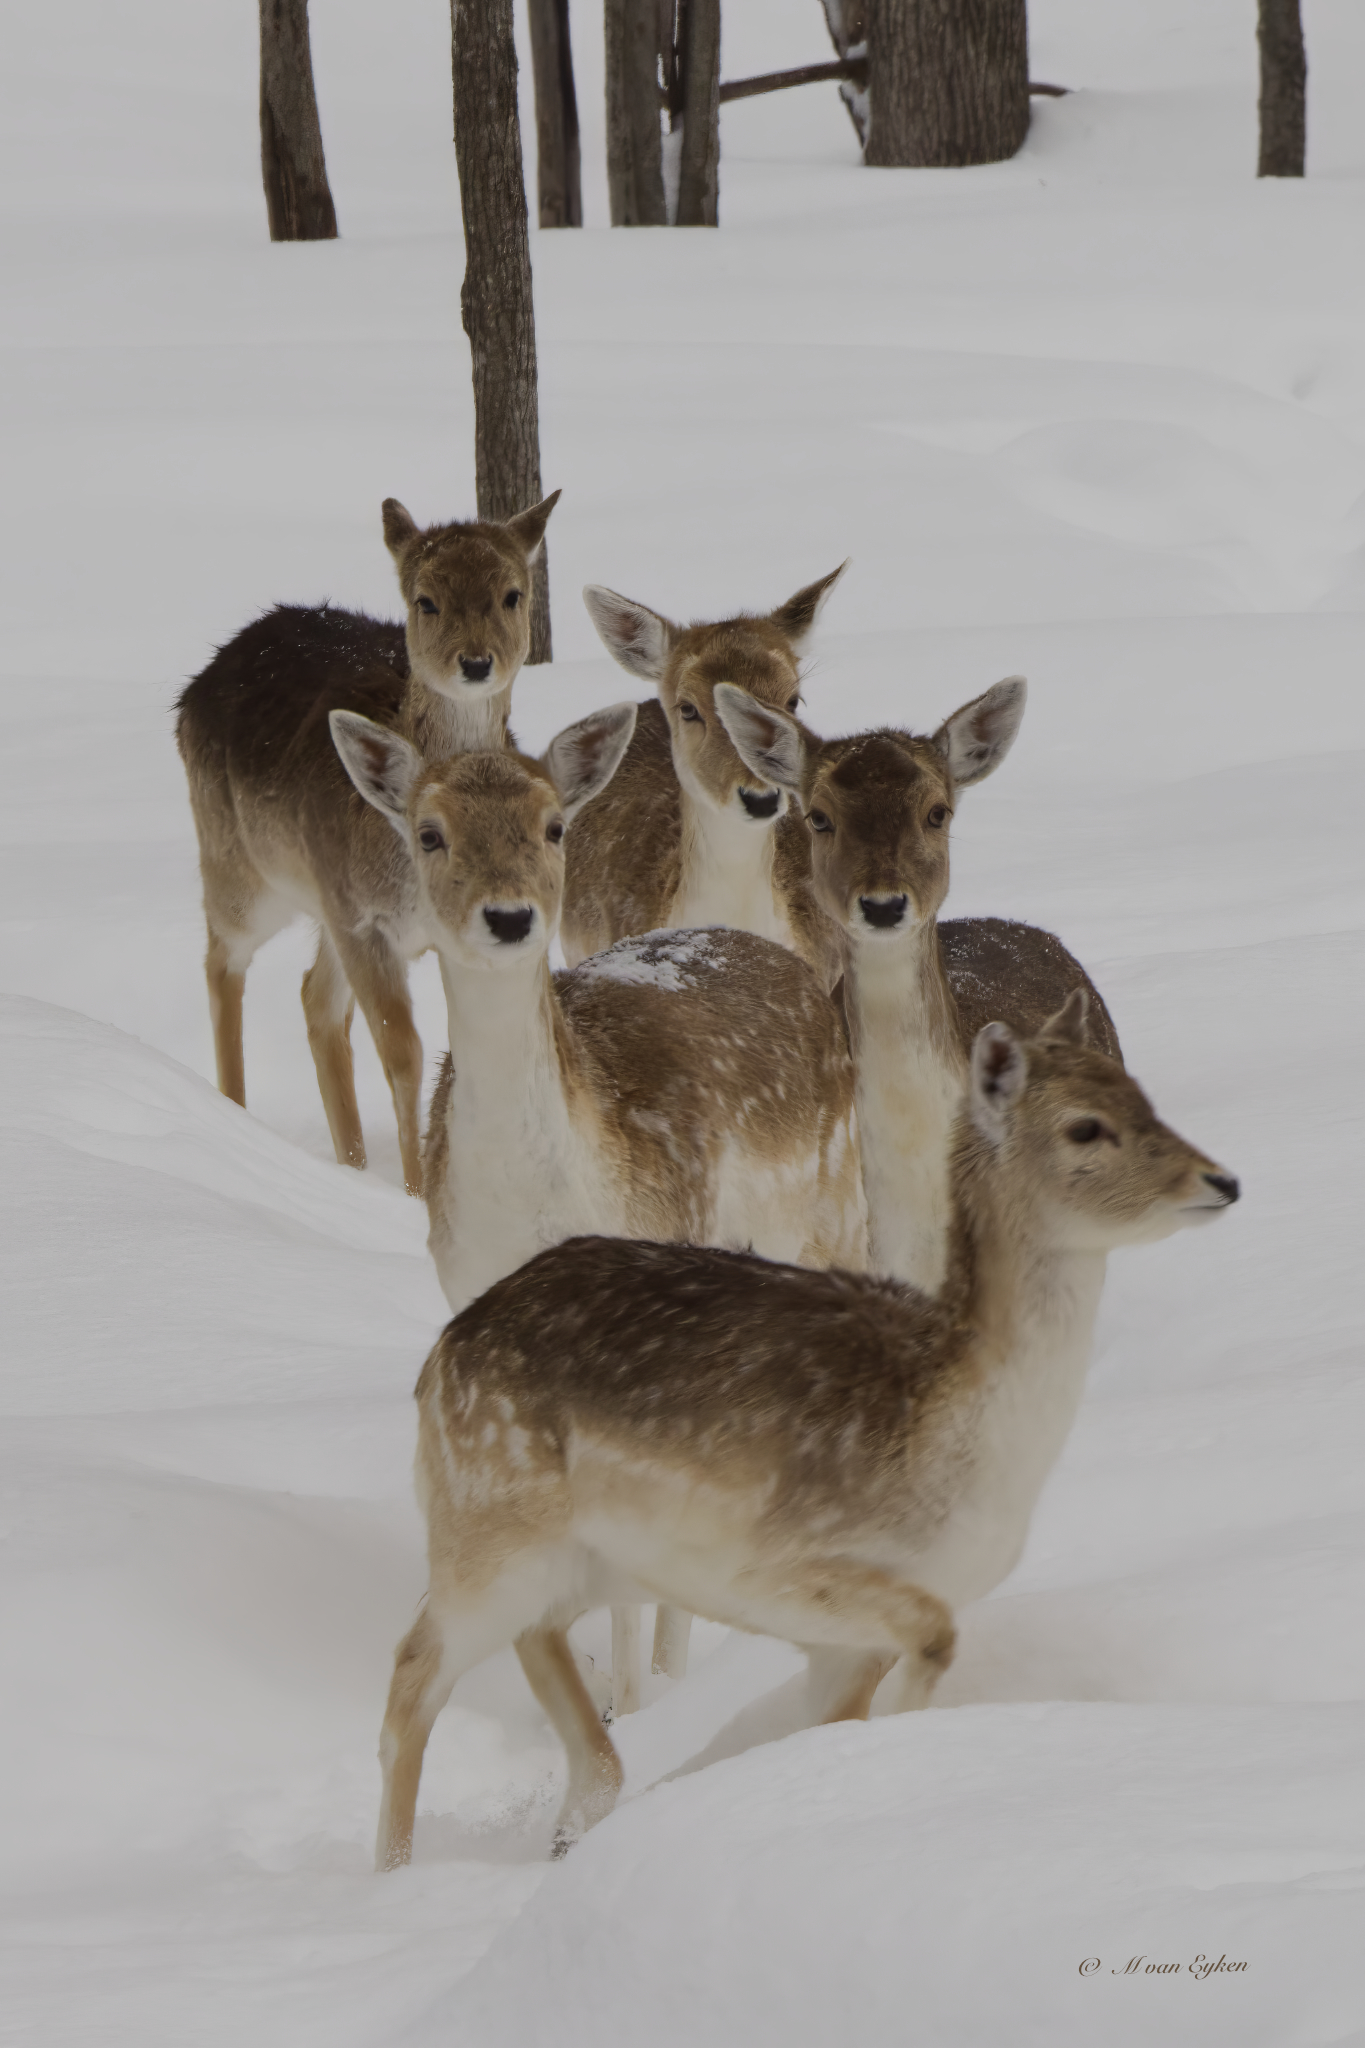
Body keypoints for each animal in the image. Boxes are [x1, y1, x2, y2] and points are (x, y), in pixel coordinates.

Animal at [174, 491, 559, 1196]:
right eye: (425, 599)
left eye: (512, 594)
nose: (475, 662)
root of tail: (196, 685)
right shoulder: (364, 920)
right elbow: (404, 1052)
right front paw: (414, 1192)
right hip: (241, 867)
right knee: (222, 961)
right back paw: (233, 1113)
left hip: (323, 905)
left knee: (314, 997)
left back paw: (350, 1164)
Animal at [329, 702, 869, 1713]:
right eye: (429, 831)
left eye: (553, 826)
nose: (509, 915)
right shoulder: (468, 1303)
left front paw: (633, 1703)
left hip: (826, 1218)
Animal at [373, 996, 1240, 1866]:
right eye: (1085, 1127)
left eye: (1144, 1097)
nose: (1222, 1180)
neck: (963, 1453)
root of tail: (438, 1355)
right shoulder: (774, 1563)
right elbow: (934, 1636)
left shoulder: (846, 1642)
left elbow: (842, 1716)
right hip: (490, 1528)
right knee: (413, 1673)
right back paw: (395, 1872)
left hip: (578, 1562)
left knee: (533, 1640)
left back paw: (572, 1821)